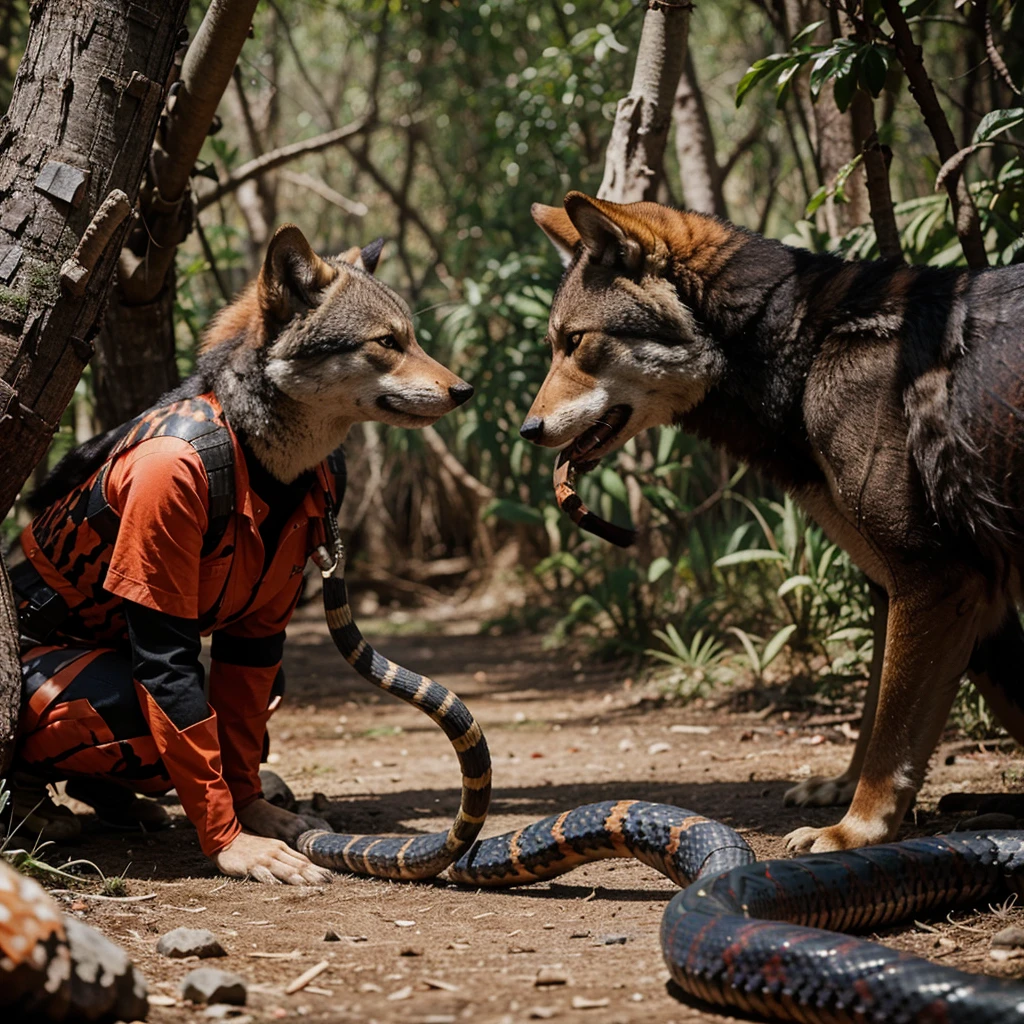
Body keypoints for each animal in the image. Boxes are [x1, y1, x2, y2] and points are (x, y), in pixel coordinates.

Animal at [9, 228, 471, 884]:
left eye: (414, 338)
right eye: (387, 342)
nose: (466, 390)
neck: (260, 453)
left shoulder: (264, 623)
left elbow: (243, 719)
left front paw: (257, 813)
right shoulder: (164, 490)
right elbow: (179, 695)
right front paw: (233, 843)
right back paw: (39, 810)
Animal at [524, 192, 1024, 856]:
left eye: (575, 341)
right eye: (554, 343)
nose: (527, 430)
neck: (807, 352)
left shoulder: (935, 580)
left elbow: (891, 735)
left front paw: (853, 831)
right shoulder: (925, 590)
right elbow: (880, 714)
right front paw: (841, 790)